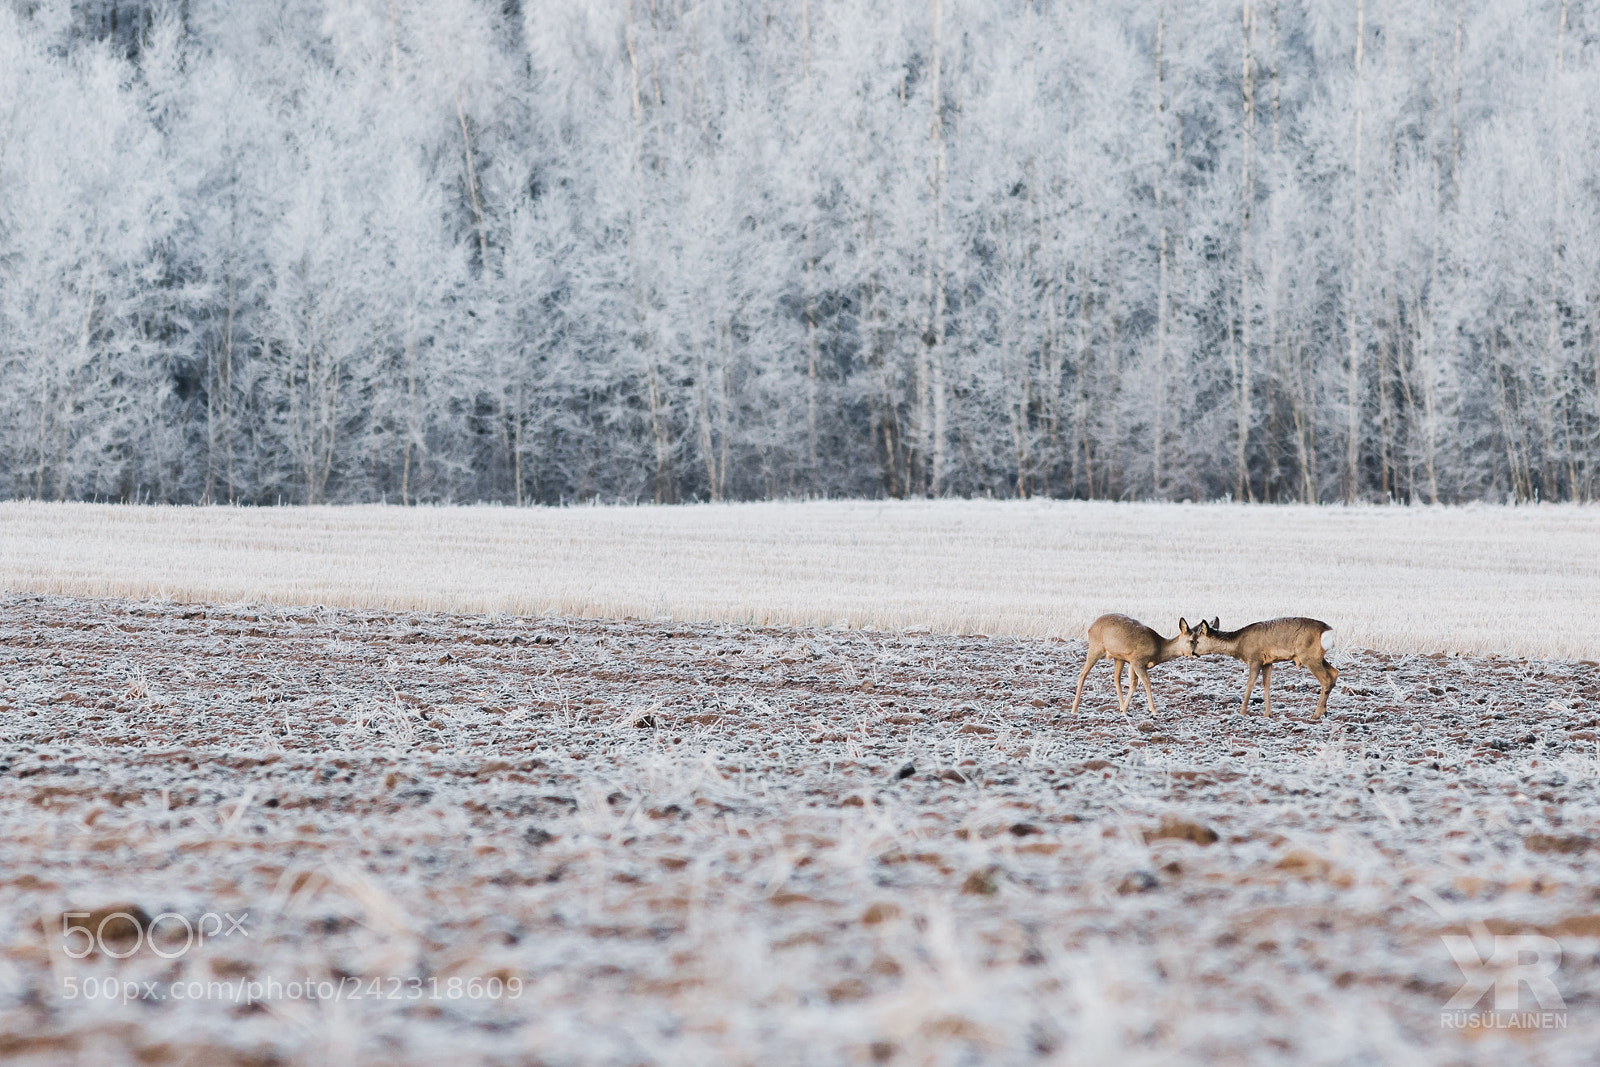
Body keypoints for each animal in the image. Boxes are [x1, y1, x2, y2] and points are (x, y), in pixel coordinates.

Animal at [1068, 617, 1196, 716]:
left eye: (1197, 639)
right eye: (1191, 640)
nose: (1196, 654)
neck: (1160, 646)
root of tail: (1090, 627)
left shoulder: (1131, 663)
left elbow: (1133, 683)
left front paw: (1124, 710)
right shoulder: (1137, 662)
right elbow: (1146, 683)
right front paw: (1153, 710)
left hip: (1119, 658)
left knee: (1116, 678)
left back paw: (1120, 706)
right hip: (1095, 649)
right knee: (1083, 674)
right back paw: (1074, 709)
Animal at [1196, 617, 1344, 716]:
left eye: (1196, 640)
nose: (1193, 653)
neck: (1239, 643)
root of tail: (1329, 632)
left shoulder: (1255, 659)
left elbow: (1250, 684)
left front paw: (1242, 712)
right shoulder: (1267, 662)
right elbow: (1266, 685)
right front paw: (1267, 713)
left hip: (1309, 657)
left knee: (1326, 679)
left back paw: (1315, 715)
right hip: (1318, 657)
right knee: (1334, 673)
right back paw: (1324, 711)